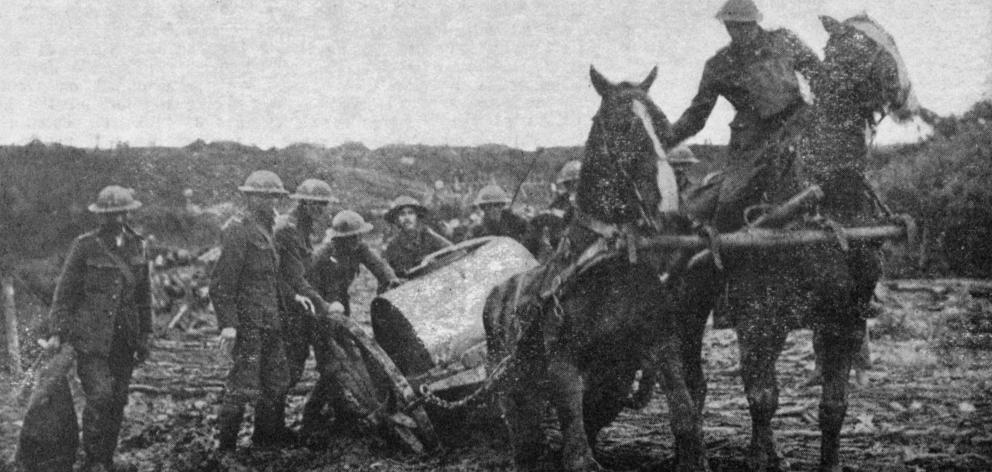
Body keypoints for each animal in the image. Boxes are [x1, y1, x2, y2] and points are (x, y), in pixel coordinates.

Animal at [484, 67, 708, 472]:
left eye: (665, 127)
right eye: (621, 126)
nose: (670, 209)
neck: (608, 260)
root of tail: (495, 293)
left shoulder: (660, 346)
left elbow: (685, 419)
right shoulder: (563, 368)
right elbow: (578, 457)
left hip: (607, 390)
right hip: (515, 395)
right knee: (526, 444)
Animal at [680, 13, 920, 472]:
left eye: (889, 37)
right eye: (856, 43)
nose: (905, 95)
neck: (825, 201)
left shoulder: (845, 323)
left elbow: (833, 407)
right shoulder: (759, 321)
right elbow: (762, 398)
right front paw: (761, 459)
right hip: (687, 313)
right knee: (692, 384)